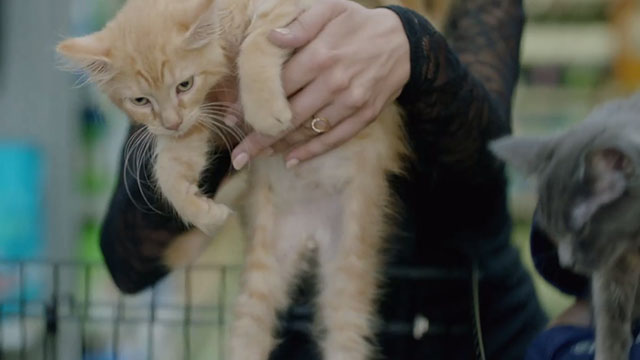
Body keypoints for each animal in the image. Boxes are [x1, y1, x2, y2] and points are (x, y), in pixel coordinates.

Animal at [57, 0, 408, 360]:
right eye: (141, 101)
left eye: (184, 84)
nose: (171, 122)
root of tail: (312, 236)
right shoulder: (198, 116)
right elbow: (170, 169)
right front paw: (202, 212)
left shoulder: (296, 10)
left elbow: (257, 41)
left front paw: (265, 109)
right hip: (263, 273)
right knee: (251, 328)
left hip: (347, 271)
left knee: (345, 331)